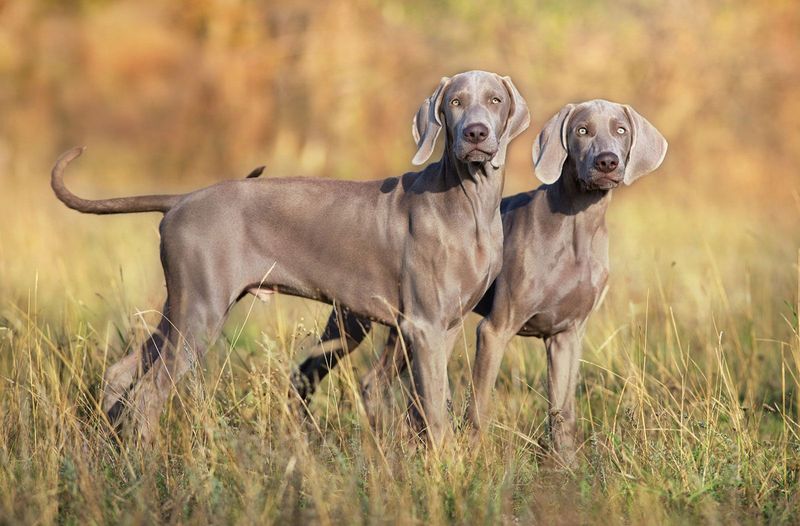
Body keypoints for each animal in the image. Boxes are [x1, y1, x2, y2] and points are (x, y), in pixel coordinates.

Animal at [48, 68, 524, 444]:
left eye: (495, 100)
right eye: (455, 102)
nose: (476, 134)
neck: (469, 202)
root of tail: (182, 199)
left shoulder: (443, 327)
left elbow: (427, 404)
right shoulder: (424, 326)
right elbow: (434, 409)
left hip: (182, 307)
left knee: (122, 372)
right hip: (200, 314)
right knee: (148, 394)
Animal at [290, 101, 664, 464]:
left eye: (621, 130)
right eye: (581, 131)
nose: (607, 162)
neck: (578, 227)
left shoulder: (567, 334)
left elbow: (563, 411)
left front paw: (567, 469)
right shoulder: (495, 329)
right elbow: (479, 405)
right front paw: (473, 459)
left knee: (372, 381)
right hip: (357, 320)